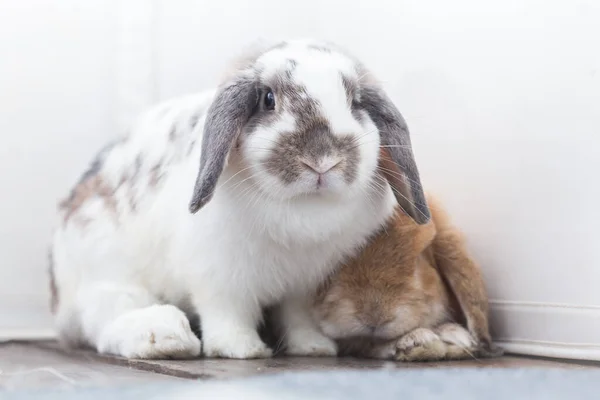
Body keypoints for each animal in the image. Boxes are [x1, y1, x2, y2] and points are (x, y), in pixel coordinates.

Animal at [49, 39, 428, 360]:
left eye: (355, 102)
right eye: (268, 99)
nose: (322, 159)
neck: (302, 210)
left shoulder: (304, 285)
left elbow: (298, 317)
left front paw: (315, 348)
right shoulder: (220, 278)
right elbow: (227, 313)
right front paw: (243, 349)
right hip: (107, 278)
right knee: (106, 320)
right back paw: (166, 339)